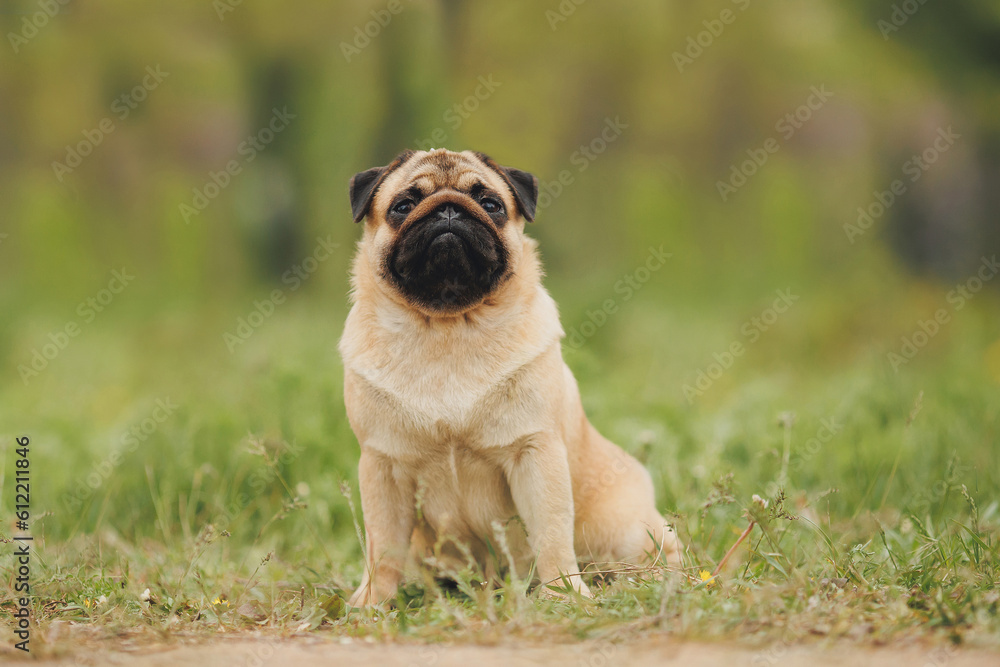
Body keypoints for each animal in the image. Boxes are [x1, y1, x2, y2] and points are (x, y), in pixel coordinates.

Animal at [342, 149, 680, 608]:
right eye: (403, 206)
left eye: (490, 204)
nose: (449, 210)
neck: (447, 328)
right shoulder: (383, 466)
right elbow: (383, 546)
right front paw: (374, 601)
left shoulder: (534, 452)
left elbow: (552, 535)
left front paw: (563, 594)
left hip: (626, 529)